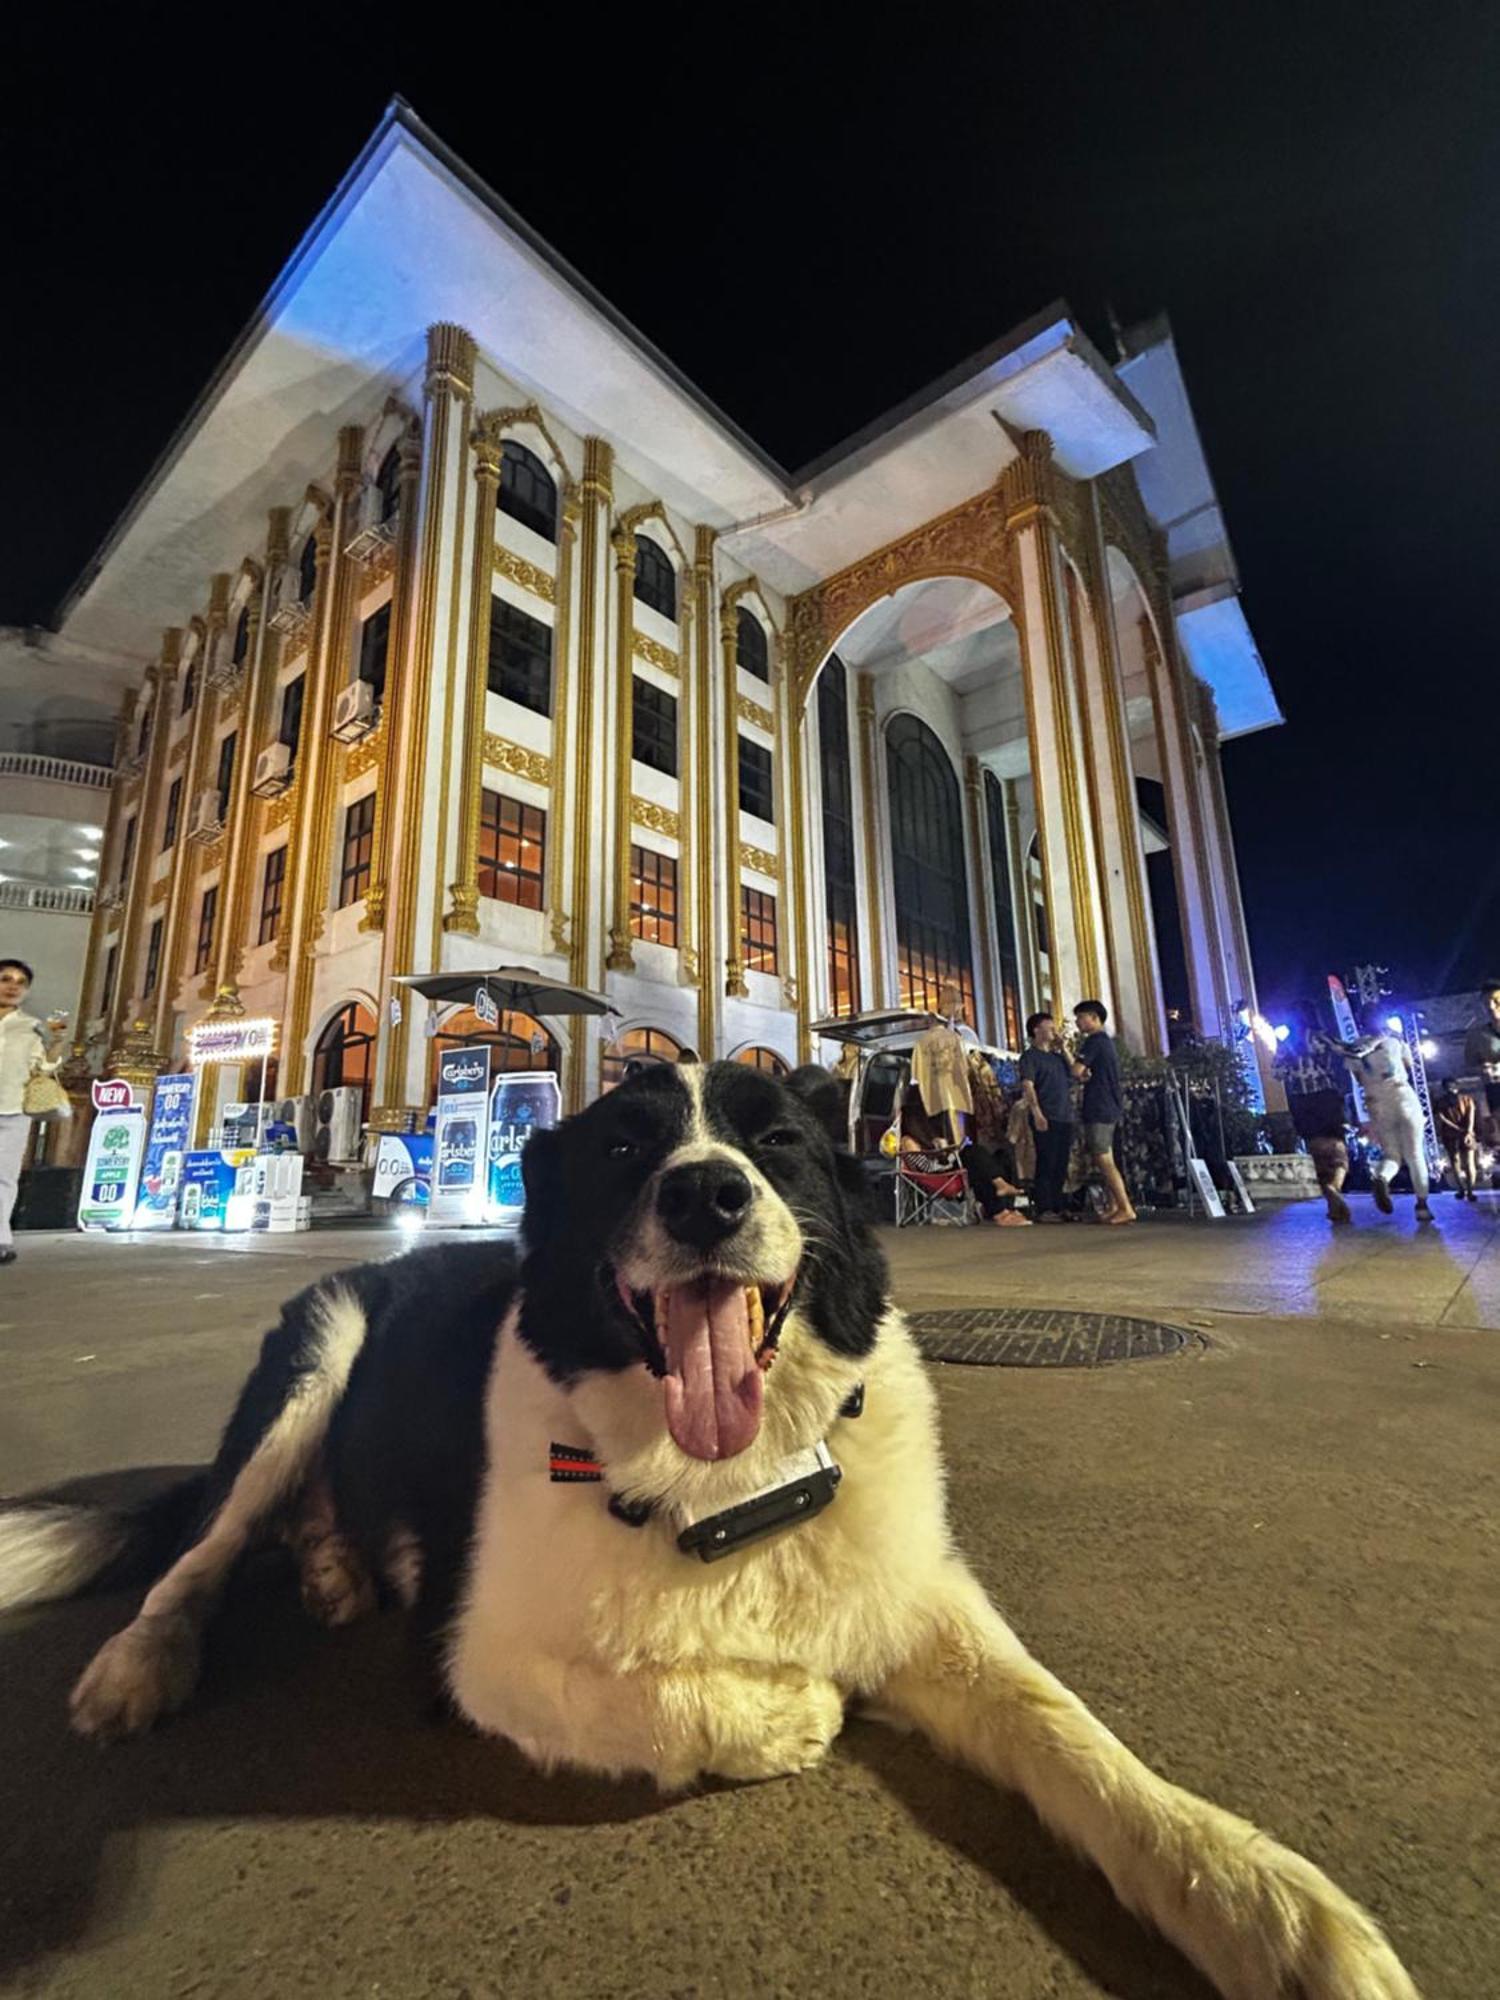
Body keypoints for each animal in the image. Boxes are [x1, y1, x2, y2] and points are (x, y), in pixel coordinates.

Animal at [0, 1064, 1416, 2000]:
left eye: (779, 1140)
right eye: (629, 1150)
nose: (707, 1196)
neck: (729, 1482)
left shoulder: (922, 1601)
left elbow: (1073, 1735)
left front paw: (1258, 1899)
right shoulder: (481, 1657)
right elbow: (672, 1694)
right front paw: (793, 1709)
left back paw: (336, 1565)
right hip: (317, 1355)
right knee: (197, 1551)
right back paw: (143, 1661)